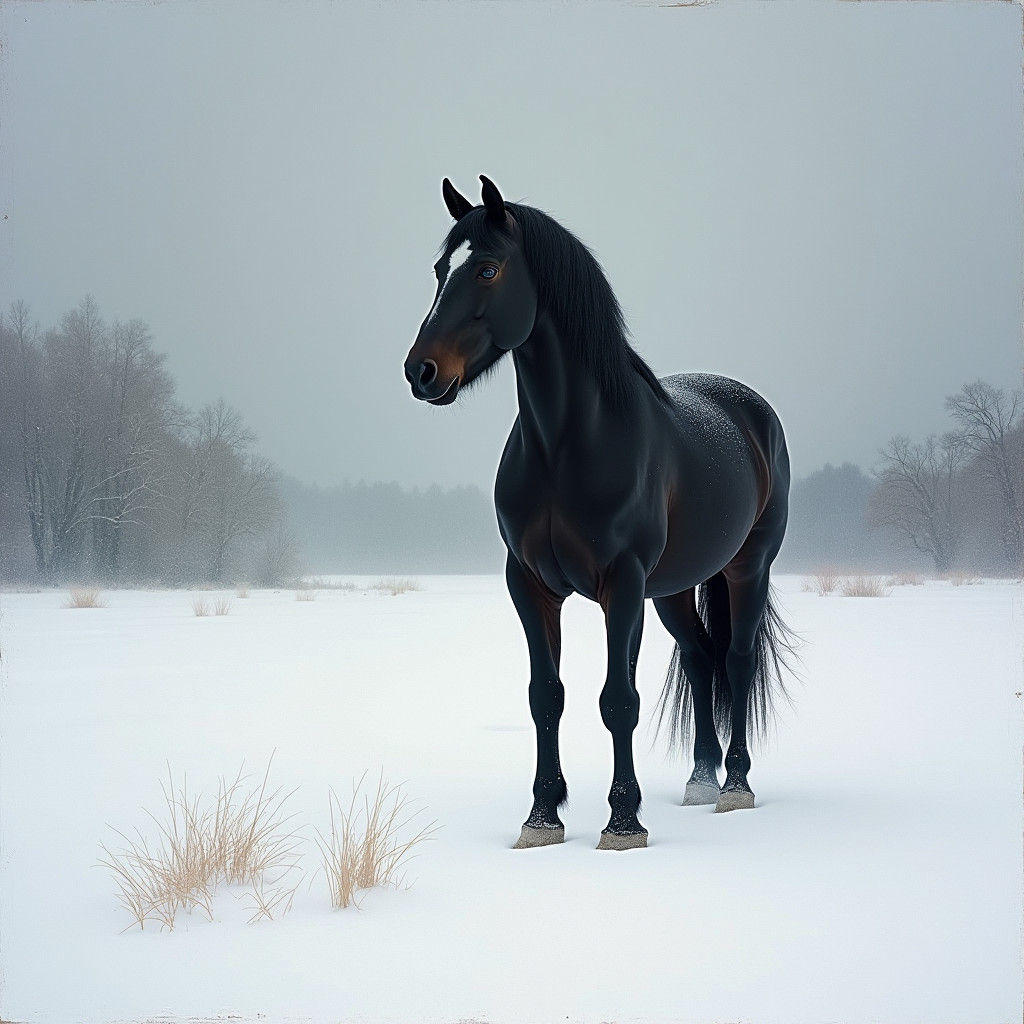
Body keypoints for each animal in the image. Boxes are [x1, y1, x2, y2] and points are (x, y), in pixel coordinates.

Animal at [404, 175, 794, 851]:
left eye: (487, 269)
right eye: (438, 270)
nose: (420, 371)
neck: (568, 447)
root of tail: (751, 410)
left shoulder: (622, 582)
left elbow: (618, 700)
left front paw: (623, 820)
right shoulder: (530, 583)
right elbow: (545, 697)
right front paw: (542, 816)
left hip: (747, 569)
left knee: (737, 660)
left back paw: (736, 785)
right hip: (674, 589)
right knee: (700, 659)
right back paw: (699, 780)